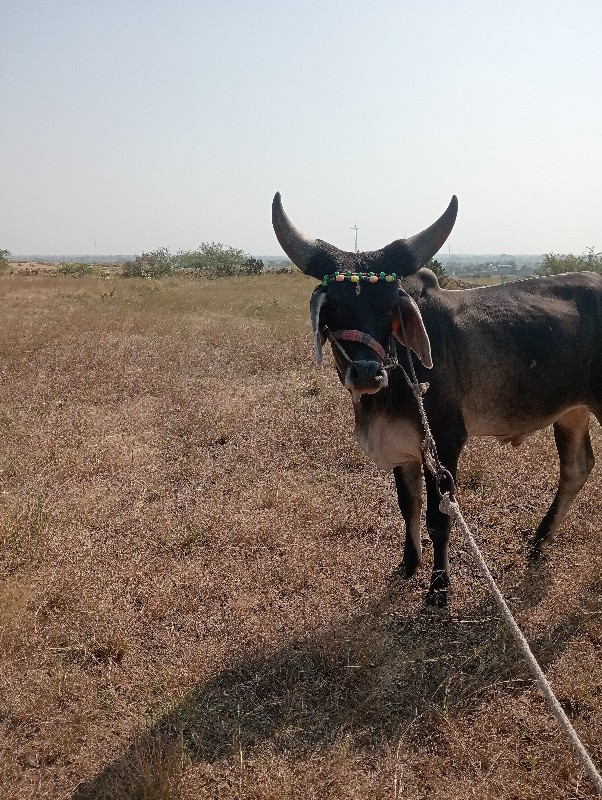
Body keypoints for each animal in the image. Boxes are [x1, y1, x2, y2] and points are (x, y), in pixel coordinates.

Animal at [272, 192, 600, 608]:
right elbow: (407, 505)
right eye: (335, 308)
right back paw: (539, 543)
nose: (367, 373)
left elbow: (438, 517)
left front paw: (439, 586)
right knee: (576, 468)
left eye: (389, 309)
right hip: (572, 412)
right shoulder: (404, 447)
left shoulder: (444, 442)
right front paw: (408, 565)